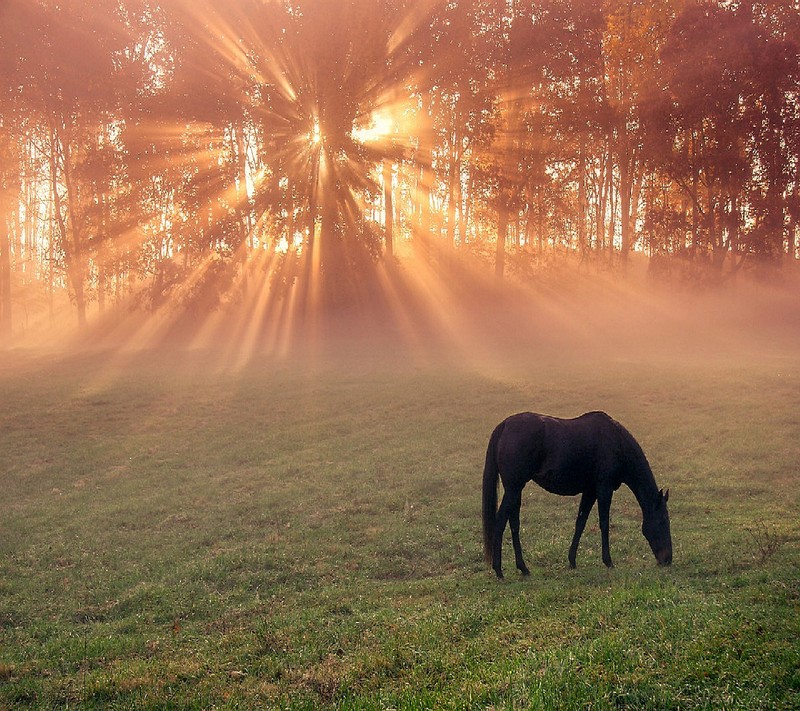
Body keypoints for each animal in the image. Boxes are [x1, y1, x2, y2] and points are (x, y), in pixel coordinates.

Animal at [484, 412, 672, 580]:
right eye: (663, 521)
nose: (668, 559)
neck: (616, 442)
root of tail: (505, 425)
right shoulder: (604, 488)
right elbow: (604, 523)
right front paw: (608, 561)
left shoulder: (590, 491)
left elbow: (580, 523)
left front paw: (572, 561)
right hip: (513, 489)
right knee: (500, 522)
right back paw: (499, 570)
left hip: (516, 490)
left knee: (514, 524)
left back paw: (523, 568)